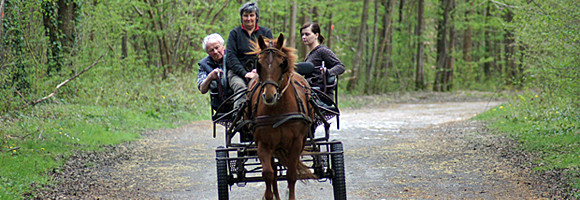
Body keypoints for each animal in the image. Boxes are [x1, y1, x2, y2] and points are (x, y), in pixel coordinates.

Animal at [245, 33, 318, 199]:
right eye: (259, 64)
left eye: (282, 63)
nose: (269, 96)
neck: (278, 111)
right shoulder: (263, 144)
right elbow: (268, 174)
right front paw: (269, 195)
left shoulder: (296, 143)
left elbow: (291, 175)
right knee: (273, 171)